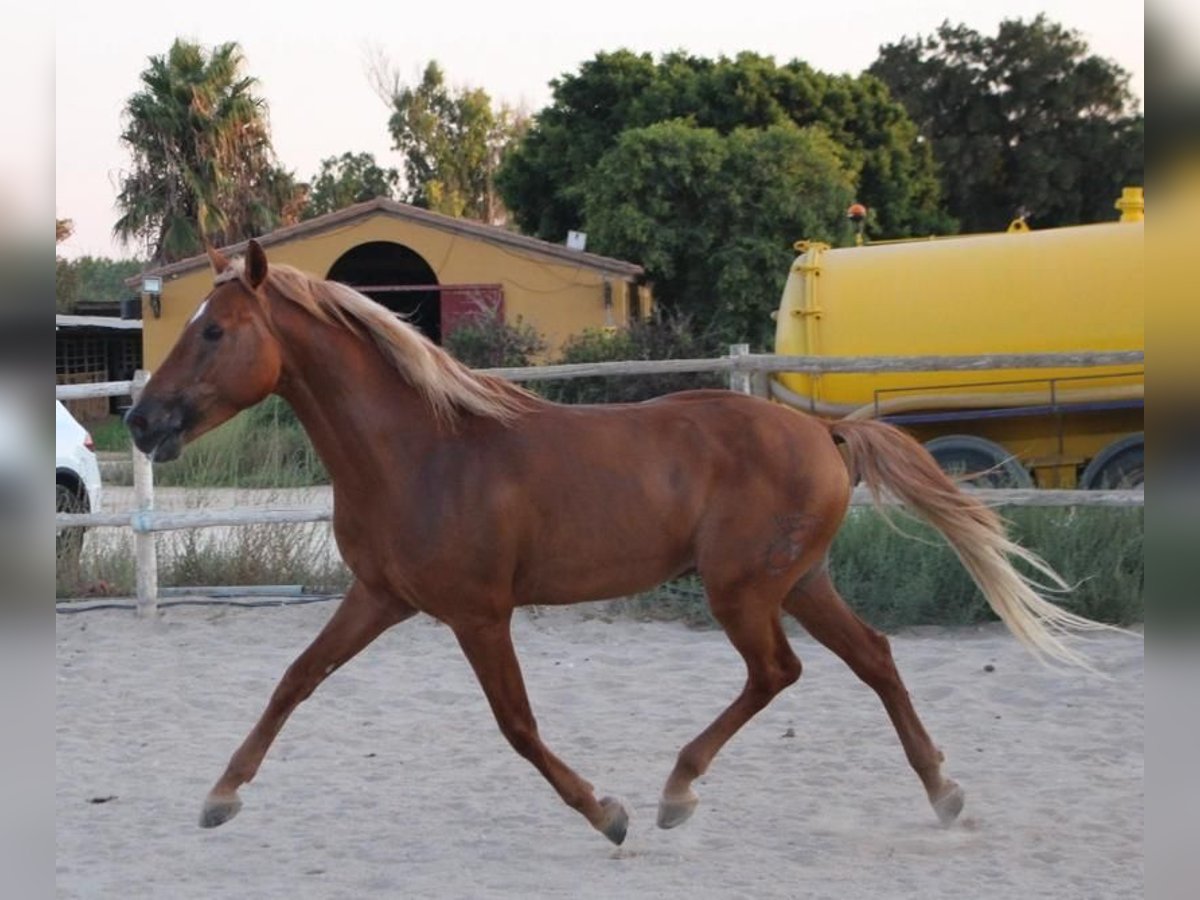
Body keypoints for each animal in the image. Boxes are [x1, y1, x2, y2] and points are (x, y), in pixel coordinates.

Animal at [126, 237, 1099, 844]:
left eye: (214, 330)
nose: (141, 422)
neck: (423, 450)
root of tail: (825, 434)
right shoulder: (381, 598)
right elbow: (295, 680)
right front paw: (219, 798)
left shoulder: (478, 614)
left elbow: (517, 725)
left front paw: (609, 813)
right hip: (799, 579)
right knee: (875, 657)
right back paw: (944, 794)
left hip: (742, 589)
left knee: (778, 672)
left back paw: (675, 793)